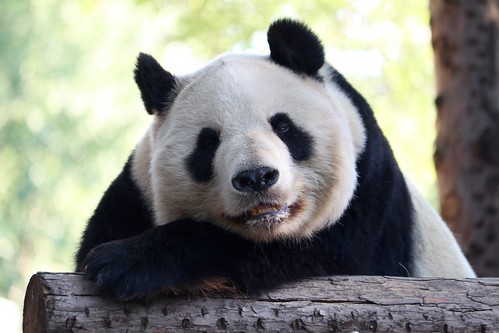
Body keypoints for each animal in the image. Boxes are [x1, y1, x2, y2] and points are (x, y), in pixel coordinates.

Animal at [75, 17, 476, 298]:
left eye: (283, 126)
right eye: (208, 142)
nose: (256, 178)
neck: (268, 227)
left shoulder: (370, 190)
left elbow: (313, 253)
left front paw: (124, 264)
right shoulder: (136, 191)